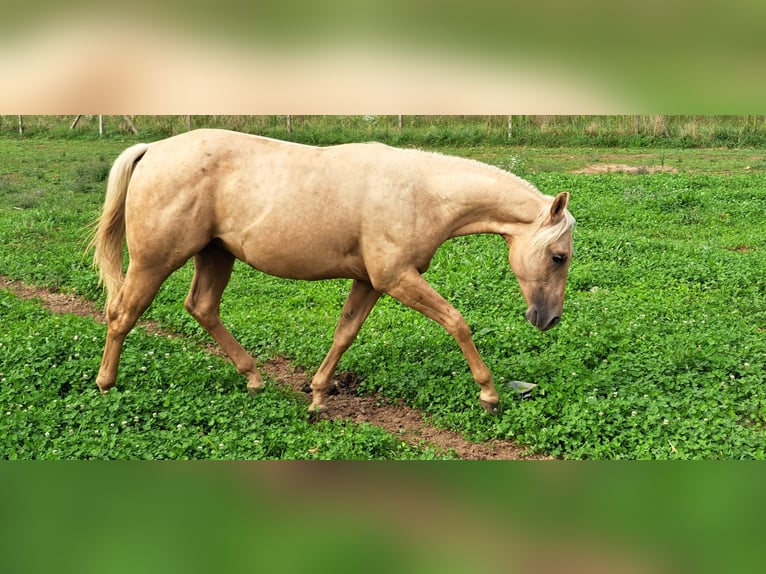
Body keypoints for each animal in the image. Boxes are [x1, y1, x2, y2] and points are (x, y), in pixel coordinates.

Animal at [90, 130, 572, 416]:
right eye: (559, 257)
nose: (549, 319)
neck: (422, 194)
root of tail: (153, 149)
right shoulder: (398, 279)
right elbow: (457, 322)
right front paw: (489, 395)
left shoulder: (371, 283)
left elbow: (345, 333)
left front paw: (319, 395)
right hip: (155, 261)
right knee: (122, 313)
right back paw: (105, 385)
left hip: (215, 254)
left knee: (202, 308)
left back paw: (254, 378)